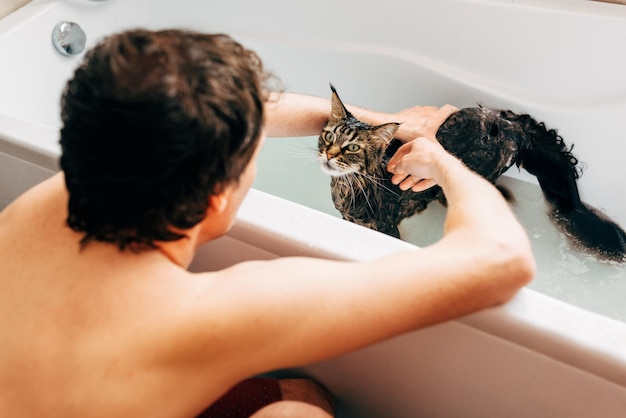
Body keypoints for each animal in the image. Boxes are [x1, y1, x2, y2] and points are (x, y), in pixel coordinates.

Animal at [316, 84, 624, 262]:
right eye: (329, 136)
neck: (350, 187)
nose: (330, 155)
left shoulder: (385, 228)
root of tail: (511, 123)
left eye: (353, 147)